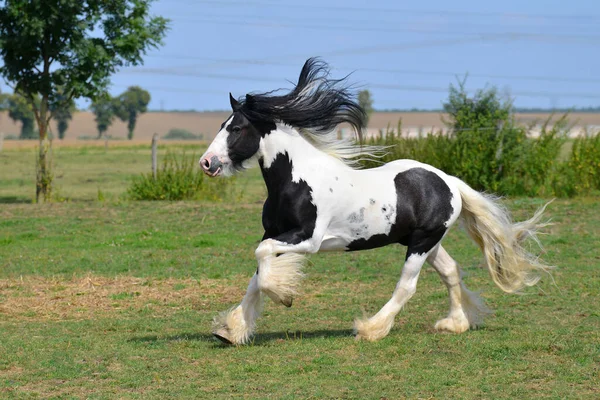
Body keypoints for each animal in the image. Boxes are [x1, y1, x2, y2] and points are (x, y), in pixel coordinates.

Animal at [198, 57, 552, 346]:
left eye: (236, 128)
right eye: (222, 126)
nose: (207, 163)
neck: (296, 179)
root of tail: (450, 182)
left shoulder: (308, 239)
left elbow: (262, 259)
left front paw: (282, 295)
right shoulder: (275, 233)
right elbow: (256, 274)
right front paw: (231, 331)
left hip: (422, 242)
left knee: (407, 286)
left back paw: (371, 329)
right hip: (426, 240)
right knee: (451, 272)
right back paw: (455, 324)